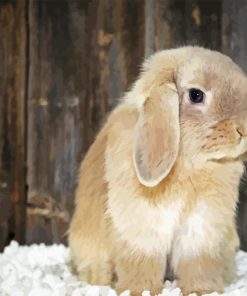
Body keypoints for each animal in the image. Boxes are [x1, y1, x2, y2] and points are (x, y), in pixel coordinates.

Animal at [68, 46, 247, 296]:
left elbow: (197, 262)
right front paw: (139, 290)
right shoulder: (142, 226)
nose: (243, 130)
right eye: (196, 95)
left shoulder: (202, 227)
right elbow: (144, 260)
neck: (190, 164)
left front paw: (202, 290)